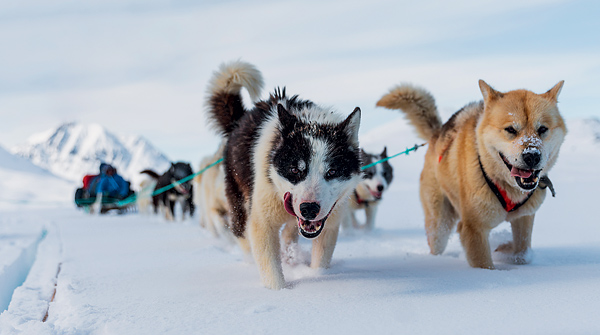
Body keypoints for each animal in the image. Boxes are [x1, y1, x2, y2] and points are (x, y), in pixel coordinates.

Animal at [380, 80, 568, 270]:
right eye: (510, 129)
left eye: (542, 129)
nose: (532, 156)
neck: (504, 184)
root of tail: (437, 134)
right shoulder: (473, 229)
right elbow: (484, 265)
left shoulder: (523, 218)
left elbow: (523, 254)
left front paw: (505, 249)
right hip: (439, 225)